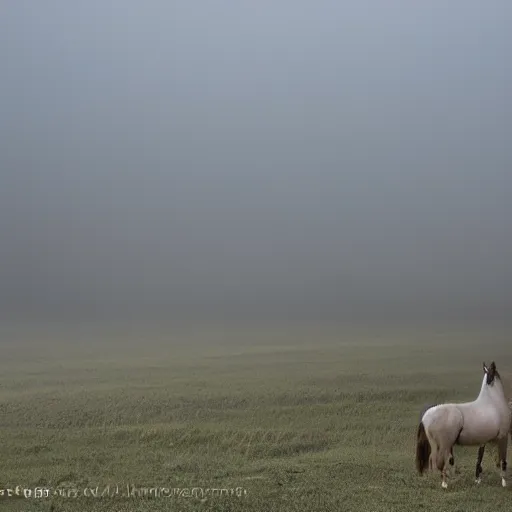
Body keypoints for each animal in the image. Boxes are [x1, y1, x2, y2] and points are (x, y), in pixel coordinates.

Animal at [416, 360, 512, 488]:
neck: (493, 402)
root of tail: (426, 416)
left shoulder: (483, 441)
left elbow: (479, 460)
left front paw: (478, 480)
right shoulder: (503, 437)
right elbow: (502, 460)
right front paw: (504, 482)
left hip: (435, 444)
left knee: (432, 460)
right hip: (444, 445)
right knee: (439, 462)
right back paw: (445, 484)